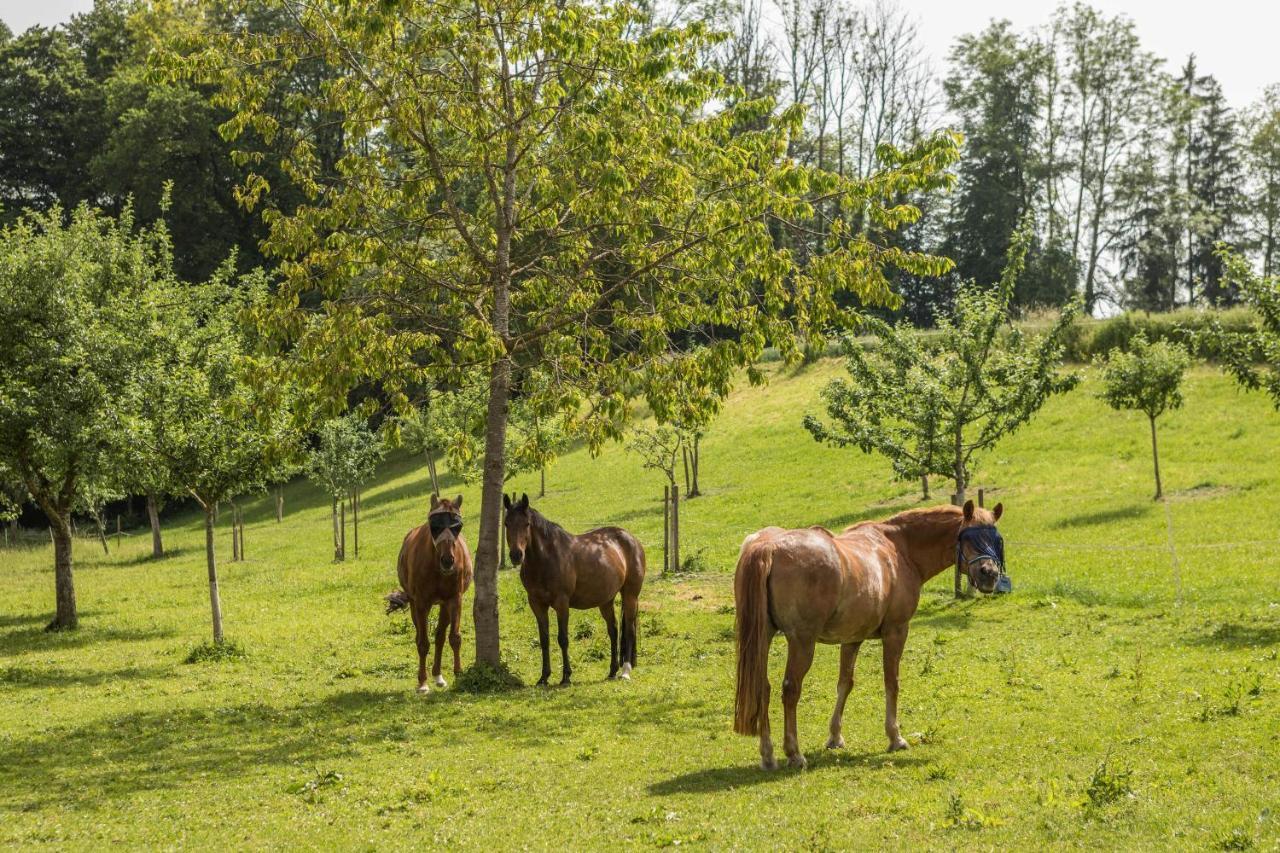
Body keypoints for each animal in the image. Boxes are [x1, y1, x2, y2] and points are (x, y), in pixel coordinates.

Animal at [389, 491, 476, 691]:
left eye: (457, 526)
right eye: (434, 526)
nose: (448, 560)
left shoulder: (454, 599)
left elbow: (454, 637)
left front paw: (458, 673)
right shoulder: (421, 603)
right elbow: (422, 642)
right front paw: (422, 682)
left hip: (444, 605)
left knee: (440, 636)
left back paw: (438, 675)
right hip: (415, 604)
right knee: (421, 636)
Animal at [501, 491, 645, 686]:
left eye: (527, 524)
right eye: (506, 524)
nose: (516, 555)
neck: (546, 559)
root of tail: (631, 539)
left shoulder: (562, 603)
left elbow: (563, 639)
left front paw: (566, 676)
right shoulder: (537, 604)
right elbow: (544, 640)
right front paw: (544, 677)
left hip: (630, 595)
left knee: (629, 629)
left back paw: (625, 670)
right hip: (606, 601)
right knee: (614, 630)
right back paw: (612, 670)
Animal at [737, 502, 1003, 768]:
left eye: (996, 539)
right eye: (968, 537)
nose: (989, 574)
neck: (900, 548)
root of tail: (770, 546)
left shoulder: (852, 638)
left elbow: (845, 683)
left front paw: (835, 736)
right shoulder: (896, 631)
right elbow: (891, 682)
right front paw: (895, 737)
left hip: (763, 638)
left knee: (763, 688)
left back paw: (768, 755)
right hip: (802, 641)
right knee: (790, 690)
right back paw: (794, 753)